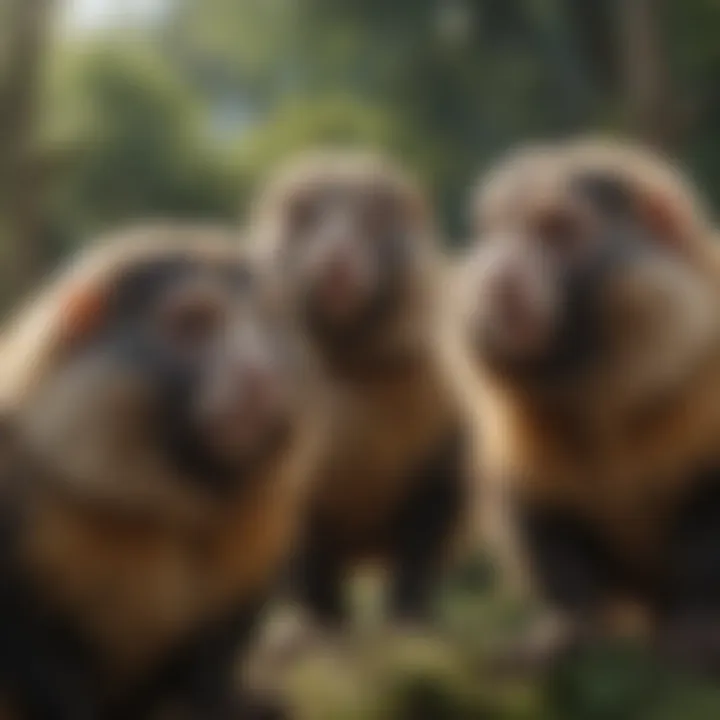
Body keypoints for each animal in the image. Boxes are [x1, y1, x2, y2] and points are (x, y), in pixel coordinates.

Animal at [249, 150, 472, 632]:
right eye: (305, 215)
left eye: (374, 218)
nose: (337, 260)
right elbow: (305, 558)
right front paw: (323, 619)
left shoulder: (446, 447)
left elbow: (423, 541)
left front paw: (410, 612)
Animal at [452, 138, 720, 672]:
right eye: (499, 231)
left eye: (556, 230)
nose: (501, 276)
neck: (602, 385)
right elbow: (541, 513)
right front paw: (571, 625)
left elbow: (705, 512)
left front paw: (699, 619)